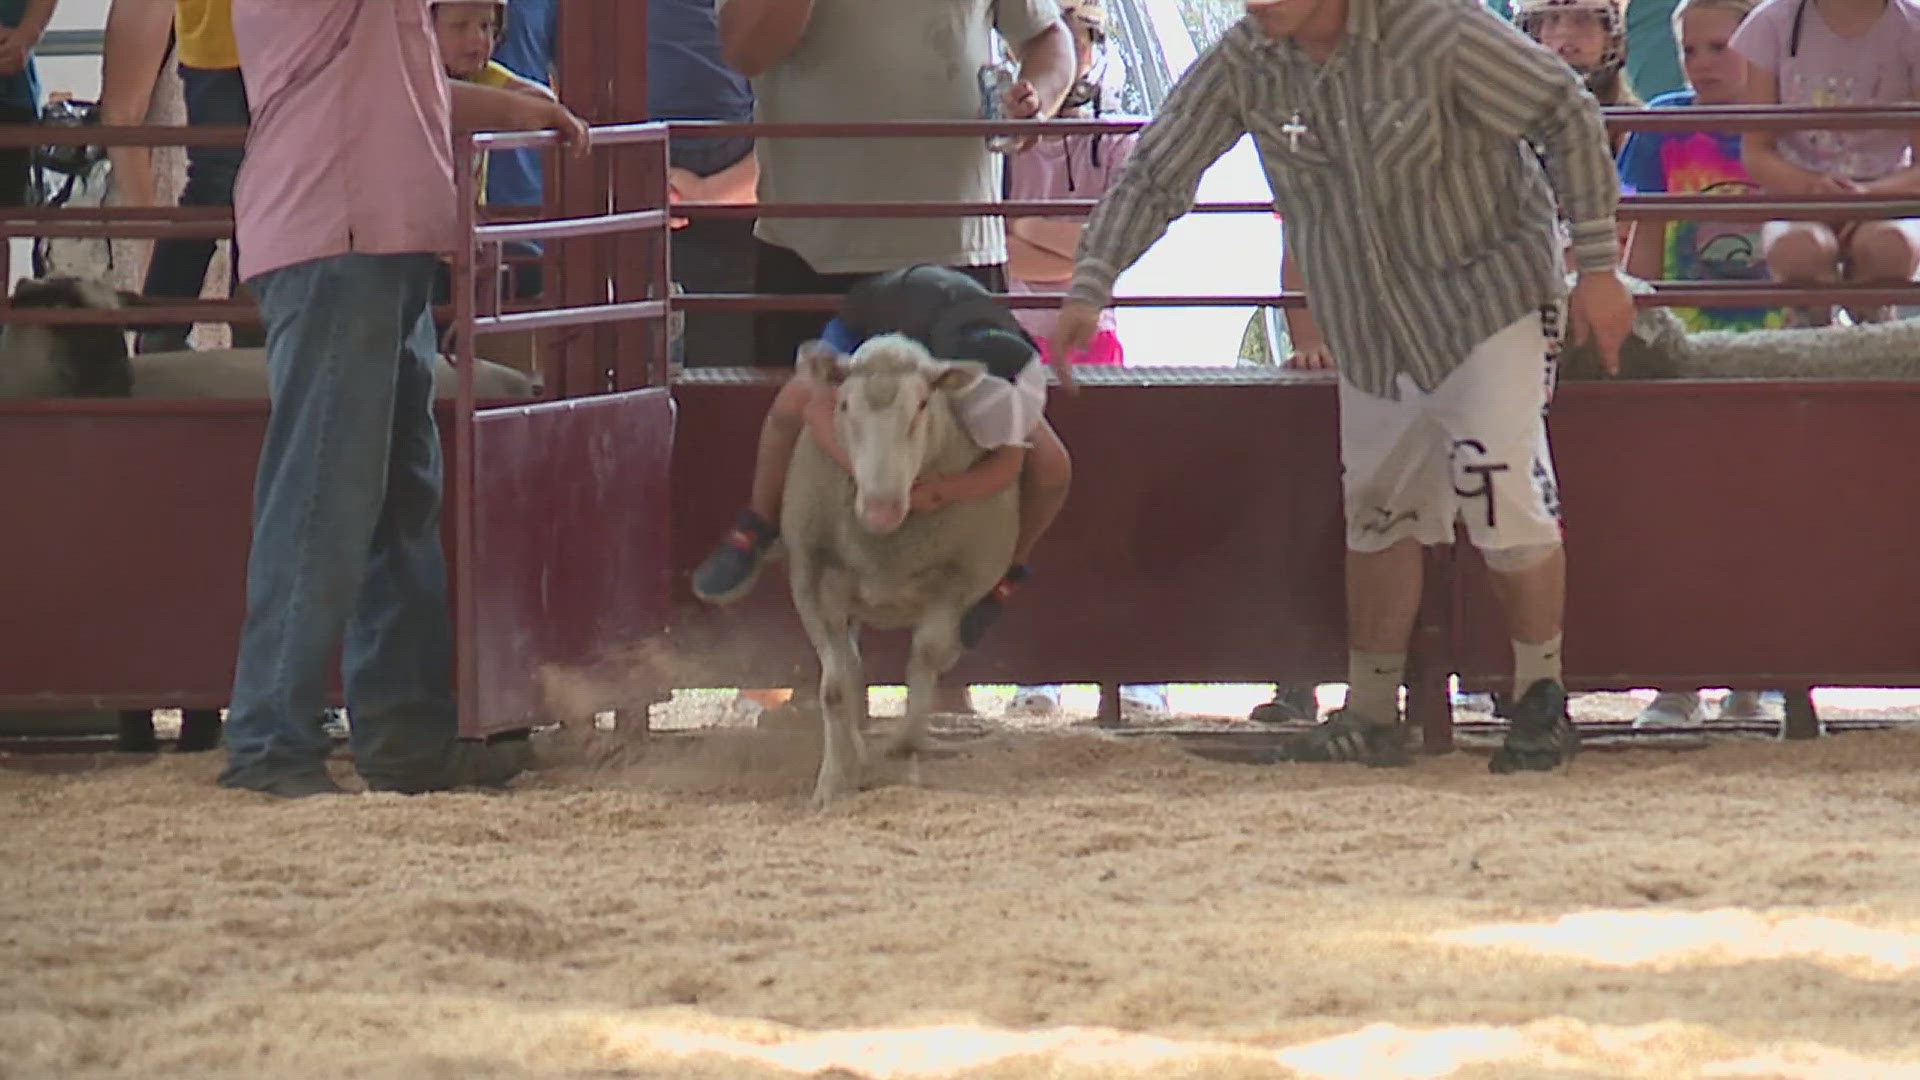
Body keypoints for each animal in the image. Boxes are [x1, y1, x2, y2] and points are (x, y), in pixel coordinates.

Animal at [779, 332, 1021, 803]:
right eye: (843, 404)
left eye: (923, 404)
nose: (881, 510)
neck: (885, 545)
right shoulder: (811, 584)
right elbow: (833, 687)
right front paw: (831, 783)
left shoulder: (956, 582)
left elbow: (924, 658)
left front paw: (904, 745)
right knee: (851, 664)